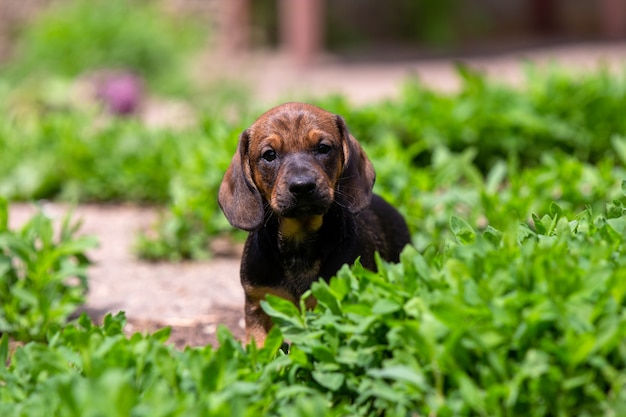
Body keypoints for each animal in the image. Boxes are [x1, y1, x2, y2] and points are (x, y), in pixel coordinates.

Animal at [218, 101, 410, 344]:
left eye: (323, 148)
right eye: (269, 155)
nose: (302, 186)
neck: (299, 241)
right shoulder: (258, 303)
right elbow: (261, 345)